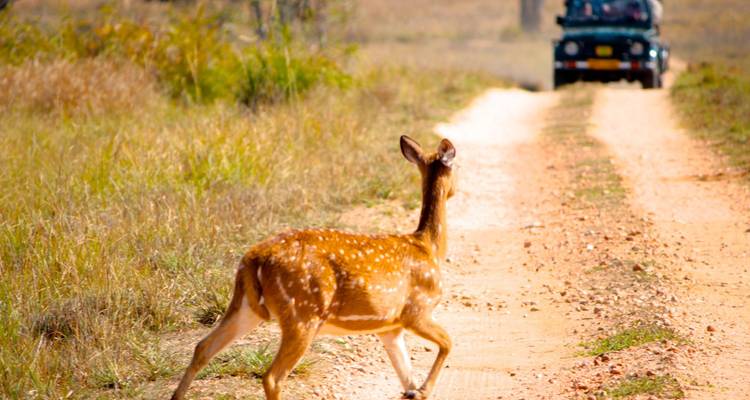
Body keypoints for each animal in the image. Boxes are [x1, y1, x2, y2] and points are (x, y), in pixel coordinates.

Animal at [171, 135, 457, 400]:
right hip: (302, 311)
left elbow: (407, 380)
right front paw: (424, 389)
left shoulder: (389, 327)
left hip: (245, 306)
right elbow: (448, 342)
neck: (429, 247)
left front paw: (415, 390)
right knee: (272, 377)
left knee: (203, 347)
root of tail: (252, 259)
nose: (454, 191)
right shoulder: (416, 310)